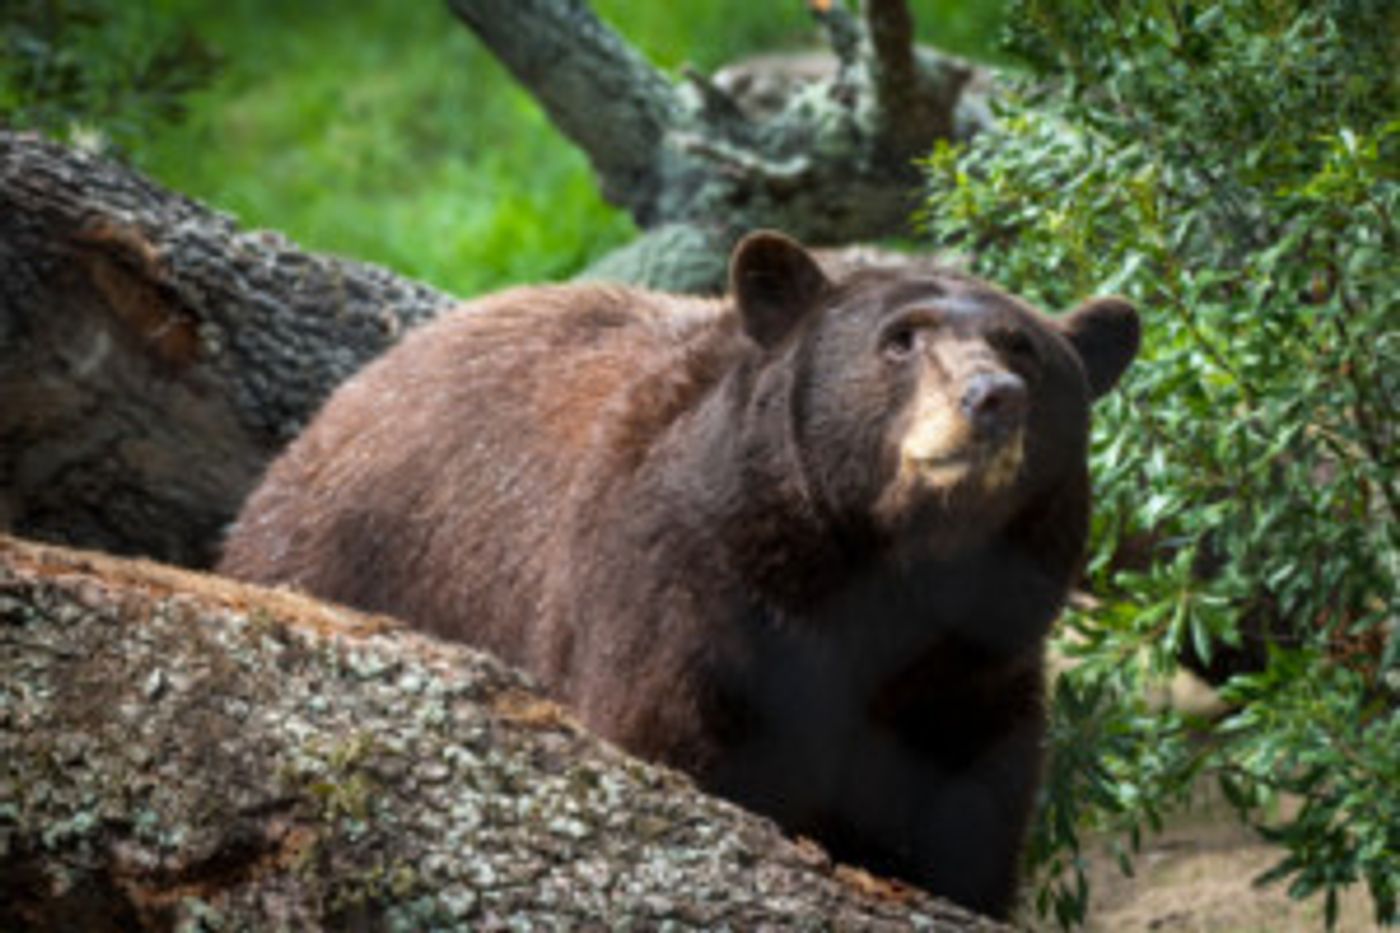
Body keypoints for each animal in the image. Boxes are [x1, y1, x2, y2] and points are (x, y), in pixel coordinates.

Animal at [219, 231, 1139, 918]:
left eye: (1024, 348)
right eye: (900, 339)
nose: (993, 396)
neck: (872, 582)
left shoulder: (974, 667)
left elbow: (963, 820)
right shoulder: (682, 602)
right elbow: (667, 749)